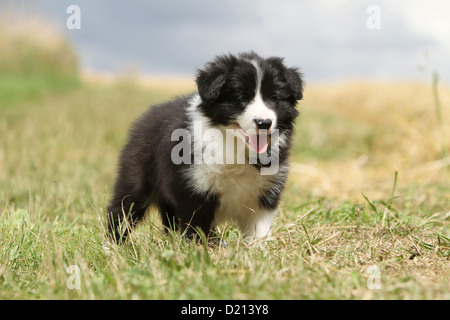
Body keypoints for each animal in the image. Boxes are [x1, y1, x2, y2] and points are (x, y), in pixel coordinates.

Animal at [106, 52, 302, 242]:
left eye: (274, 98)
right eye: (241, 98)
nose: (264, 123)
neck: (235, 146)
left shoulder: (266, 192)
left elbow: (259, 230)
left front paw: (258, 249)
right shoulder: (194, 186)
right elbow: (196, 225)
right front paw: (197, 249)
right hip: (136, 177)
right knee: (122, 209)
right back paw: (113, 246)